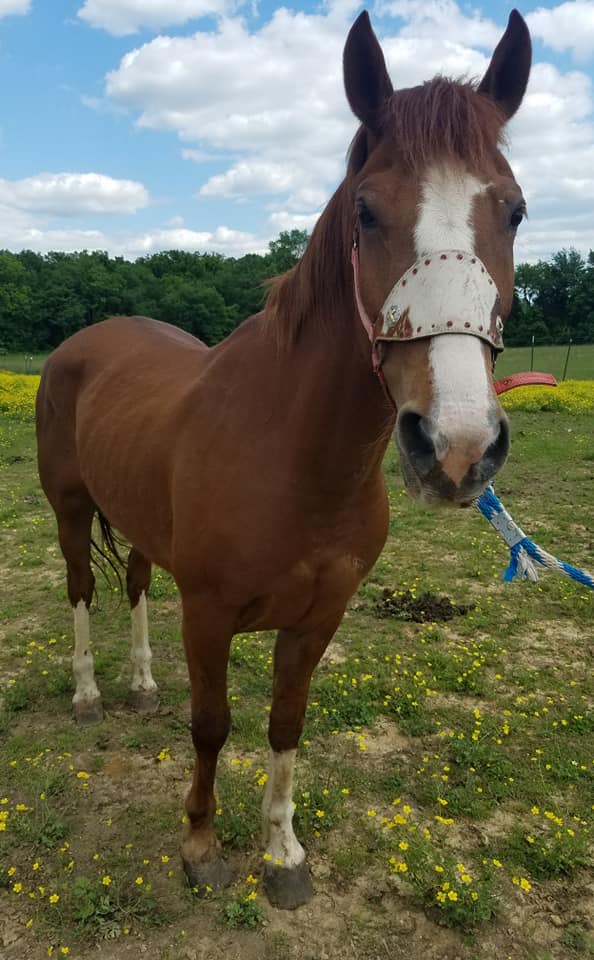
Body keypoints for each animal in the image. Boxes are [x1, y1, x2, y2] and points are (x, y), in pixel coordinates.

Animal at [35, 9, 531, 910]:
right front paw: (201, 845)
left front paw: (283, 855)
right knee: (84, 589)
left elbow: (284, 726)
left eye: (512, 211)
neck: (296, 458)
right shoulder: (207, 615)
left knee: (132, 584)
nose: (457, 447)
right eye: (366, 211)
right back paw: (91, 694)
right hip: (70, 510)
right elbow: (213, 725)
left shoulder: (317, 620)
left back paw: (140, 684)